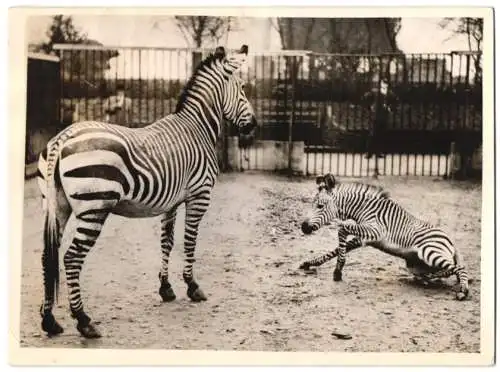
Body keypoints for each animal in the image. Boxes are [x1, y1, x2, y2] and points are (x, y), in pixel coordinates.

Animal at [37, 44, 256, 340]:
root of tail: (64, 137)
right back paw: (84, 321)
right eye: (242, 88)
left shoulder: (172, 202)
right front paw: (192, 286)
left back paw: (50, 321)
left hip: (57, 206)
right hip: (94, 207)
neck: (197, 128)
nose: (253, 126)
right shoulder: (199, 196)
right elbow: (190, 241)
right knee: (72, 257)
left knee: (48, 256)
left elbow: (167, 241)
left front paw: (166, 288)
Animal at [300, 173, 468, 300]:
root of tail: (452, 243)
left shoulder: (375, 231)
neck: (363, 208)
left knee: (459, 268)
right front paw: (311, 263)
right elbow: (335, 249)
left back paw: (462, 291)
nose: (303, 227)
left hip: (428, 251)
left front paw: (338, 270)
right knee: (446, 271)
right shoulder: (364, 238)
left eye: (320, 206)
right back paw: (426, 278)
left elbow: (341, 230)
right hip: (414, 264)